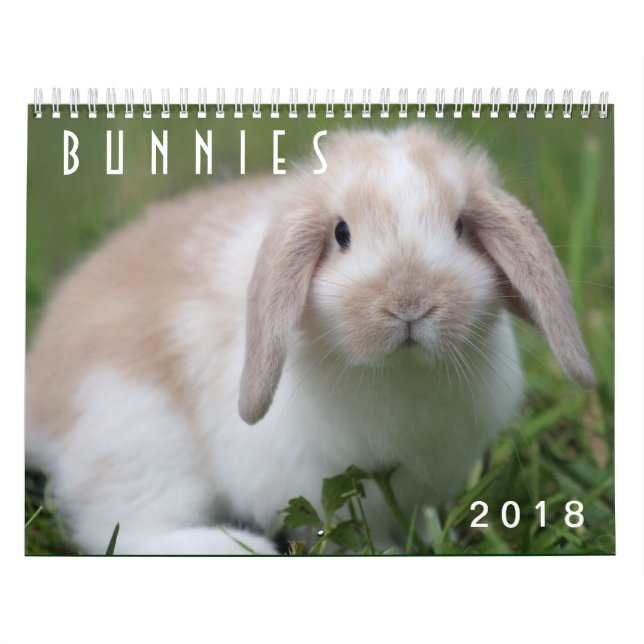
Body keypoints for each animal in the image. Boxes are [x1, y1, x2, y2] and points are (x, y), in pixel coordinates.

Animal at [25, 125, 595, 555]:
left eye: (459, 227)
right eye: (341, 234)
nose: (409, 304)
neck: (400, 375)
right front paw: (381, 551)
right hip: (139, 440)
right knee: (121, 526)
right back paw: (228, 546)